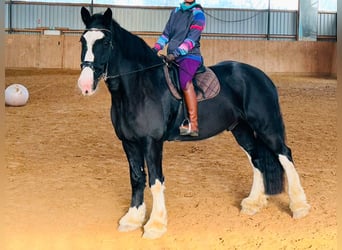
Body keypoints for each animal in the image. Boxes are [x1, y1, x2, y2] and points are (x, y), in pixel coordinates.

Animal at [77, 7, 310, 238]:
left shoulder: (152, 142)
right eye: (83, 40)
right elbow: (136, 178)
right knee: (257, 158)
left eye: (105, 42)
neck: (139, 88)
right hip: (241, 129)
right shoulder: (129, 142)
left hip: (266, 127)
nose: (85, 85)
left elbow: (155, 181)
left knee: (285, 154)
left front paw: (155, 225)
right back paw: (253, 203)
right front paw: (132, 219)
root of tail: (260, 75)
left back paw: (299, 207)